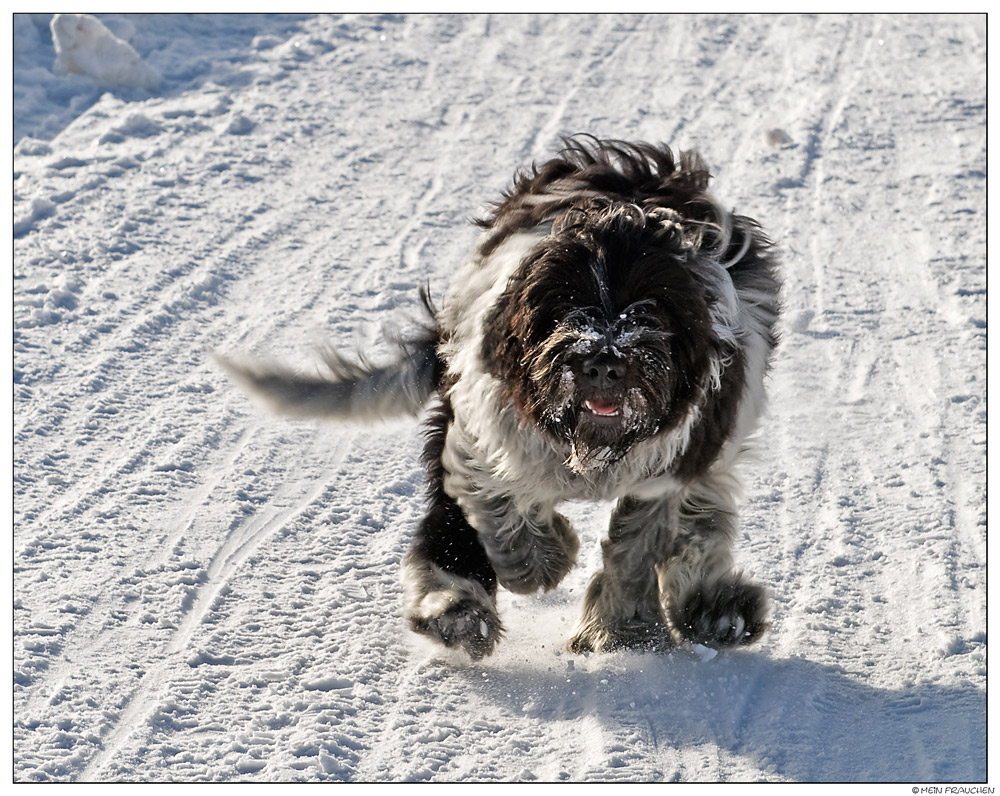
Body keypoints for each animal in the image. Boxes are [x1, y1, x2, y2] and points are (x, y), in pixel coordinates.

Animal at [223, 135, 784, 660]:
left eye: (652, 308)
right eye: (563, 307)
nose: (603, 361)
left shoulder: (679, 457)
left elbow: (640, 543)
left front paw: (620, 630)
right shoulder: (486, 430)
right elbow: (496, 508)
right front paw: (545, 560)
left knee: (702, 523)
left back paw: (719, 613)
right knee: (452, 526)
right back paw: (457, 613)